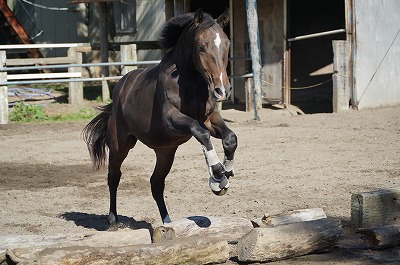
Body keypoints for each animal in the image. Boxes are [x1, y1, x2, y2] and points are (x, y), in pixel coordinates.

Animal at [83, 8, 236, 227]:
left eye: (227, 44)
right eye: (201, 47)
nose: (222, 90)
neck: (190, 84)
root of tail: (120, 88)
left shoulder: (210, 118)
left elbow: (230, 138)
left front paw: (227, 173)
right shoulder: (171, 120)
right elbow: (201, 132)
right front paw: (217, 174)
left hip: (165, 152)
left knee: (156, 183)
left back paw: (167, 223)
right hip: (120, 145)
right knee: (114, 177)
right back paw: (113, 220)